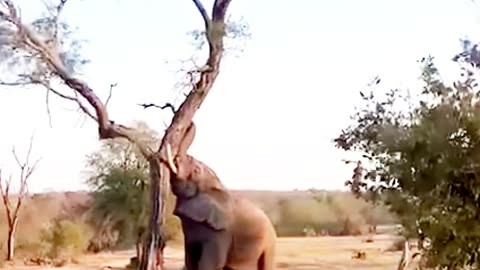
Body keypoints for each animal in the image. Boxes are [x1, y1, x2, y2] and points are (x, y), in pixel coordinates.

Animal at [165, 123, 278, 270]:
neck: (216, 185)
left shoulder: (222, 232)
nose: (190, 123)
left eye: (196, 170)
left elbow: (211, 263)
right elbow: (190, 260)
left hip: (269, 244)